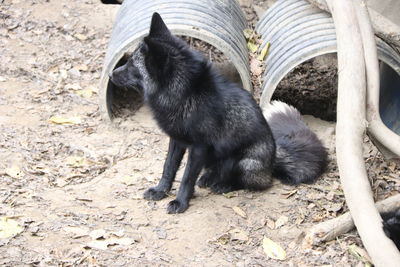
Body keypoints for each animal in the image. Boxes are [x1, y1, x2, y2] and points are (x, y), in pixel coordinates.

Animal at [110, 12, 328, 215]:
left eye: (132, 65)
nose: (111, 74)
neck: (185, 94)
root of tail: (274, 158)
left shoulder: (199, 147)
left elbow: (187, 178)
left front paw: (180, 202)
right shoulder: (177, 140)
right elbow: (168, 168)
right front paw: (161, 191)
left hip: (246, 163)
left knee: (254, 183)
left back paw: (223, 185)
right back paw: (208, 178)